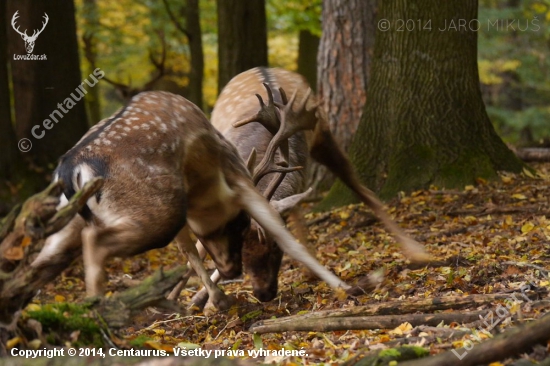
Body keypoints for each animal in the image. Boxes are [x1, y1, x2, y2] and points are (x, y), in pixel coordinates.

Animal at [30, 90, 352, 308]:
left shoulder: (187, 210)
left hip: (70, 219)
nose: (234, 271)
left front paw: (211, 301)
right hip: (156, 211)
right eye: (240, 227)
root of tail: (72, 169)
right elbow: (285, 236)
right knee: (93, 241)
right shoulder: (237, 179)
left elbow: (189, 250)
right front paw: (345, 287)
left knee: (39, 263)